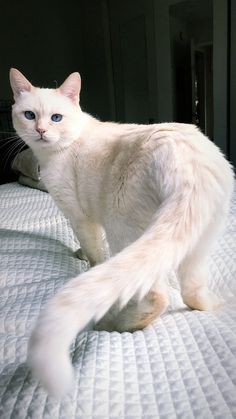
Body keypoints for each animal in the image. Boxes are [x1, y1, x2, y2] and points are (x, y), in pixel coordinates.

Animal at [9, 68, 234, 398]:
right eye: (29, 115)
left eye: (56, 118)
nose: (40, 130)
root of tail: (186, 162)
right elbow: (91, 250)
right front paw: (80, 255)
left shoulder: (80, 217)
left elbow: (95, 254)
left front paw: (88, 263)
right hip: (197, 243)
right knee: (191, 292)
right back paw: (212, 305)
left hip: (123, 227)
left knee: (157, 295)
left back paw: (114, 325)